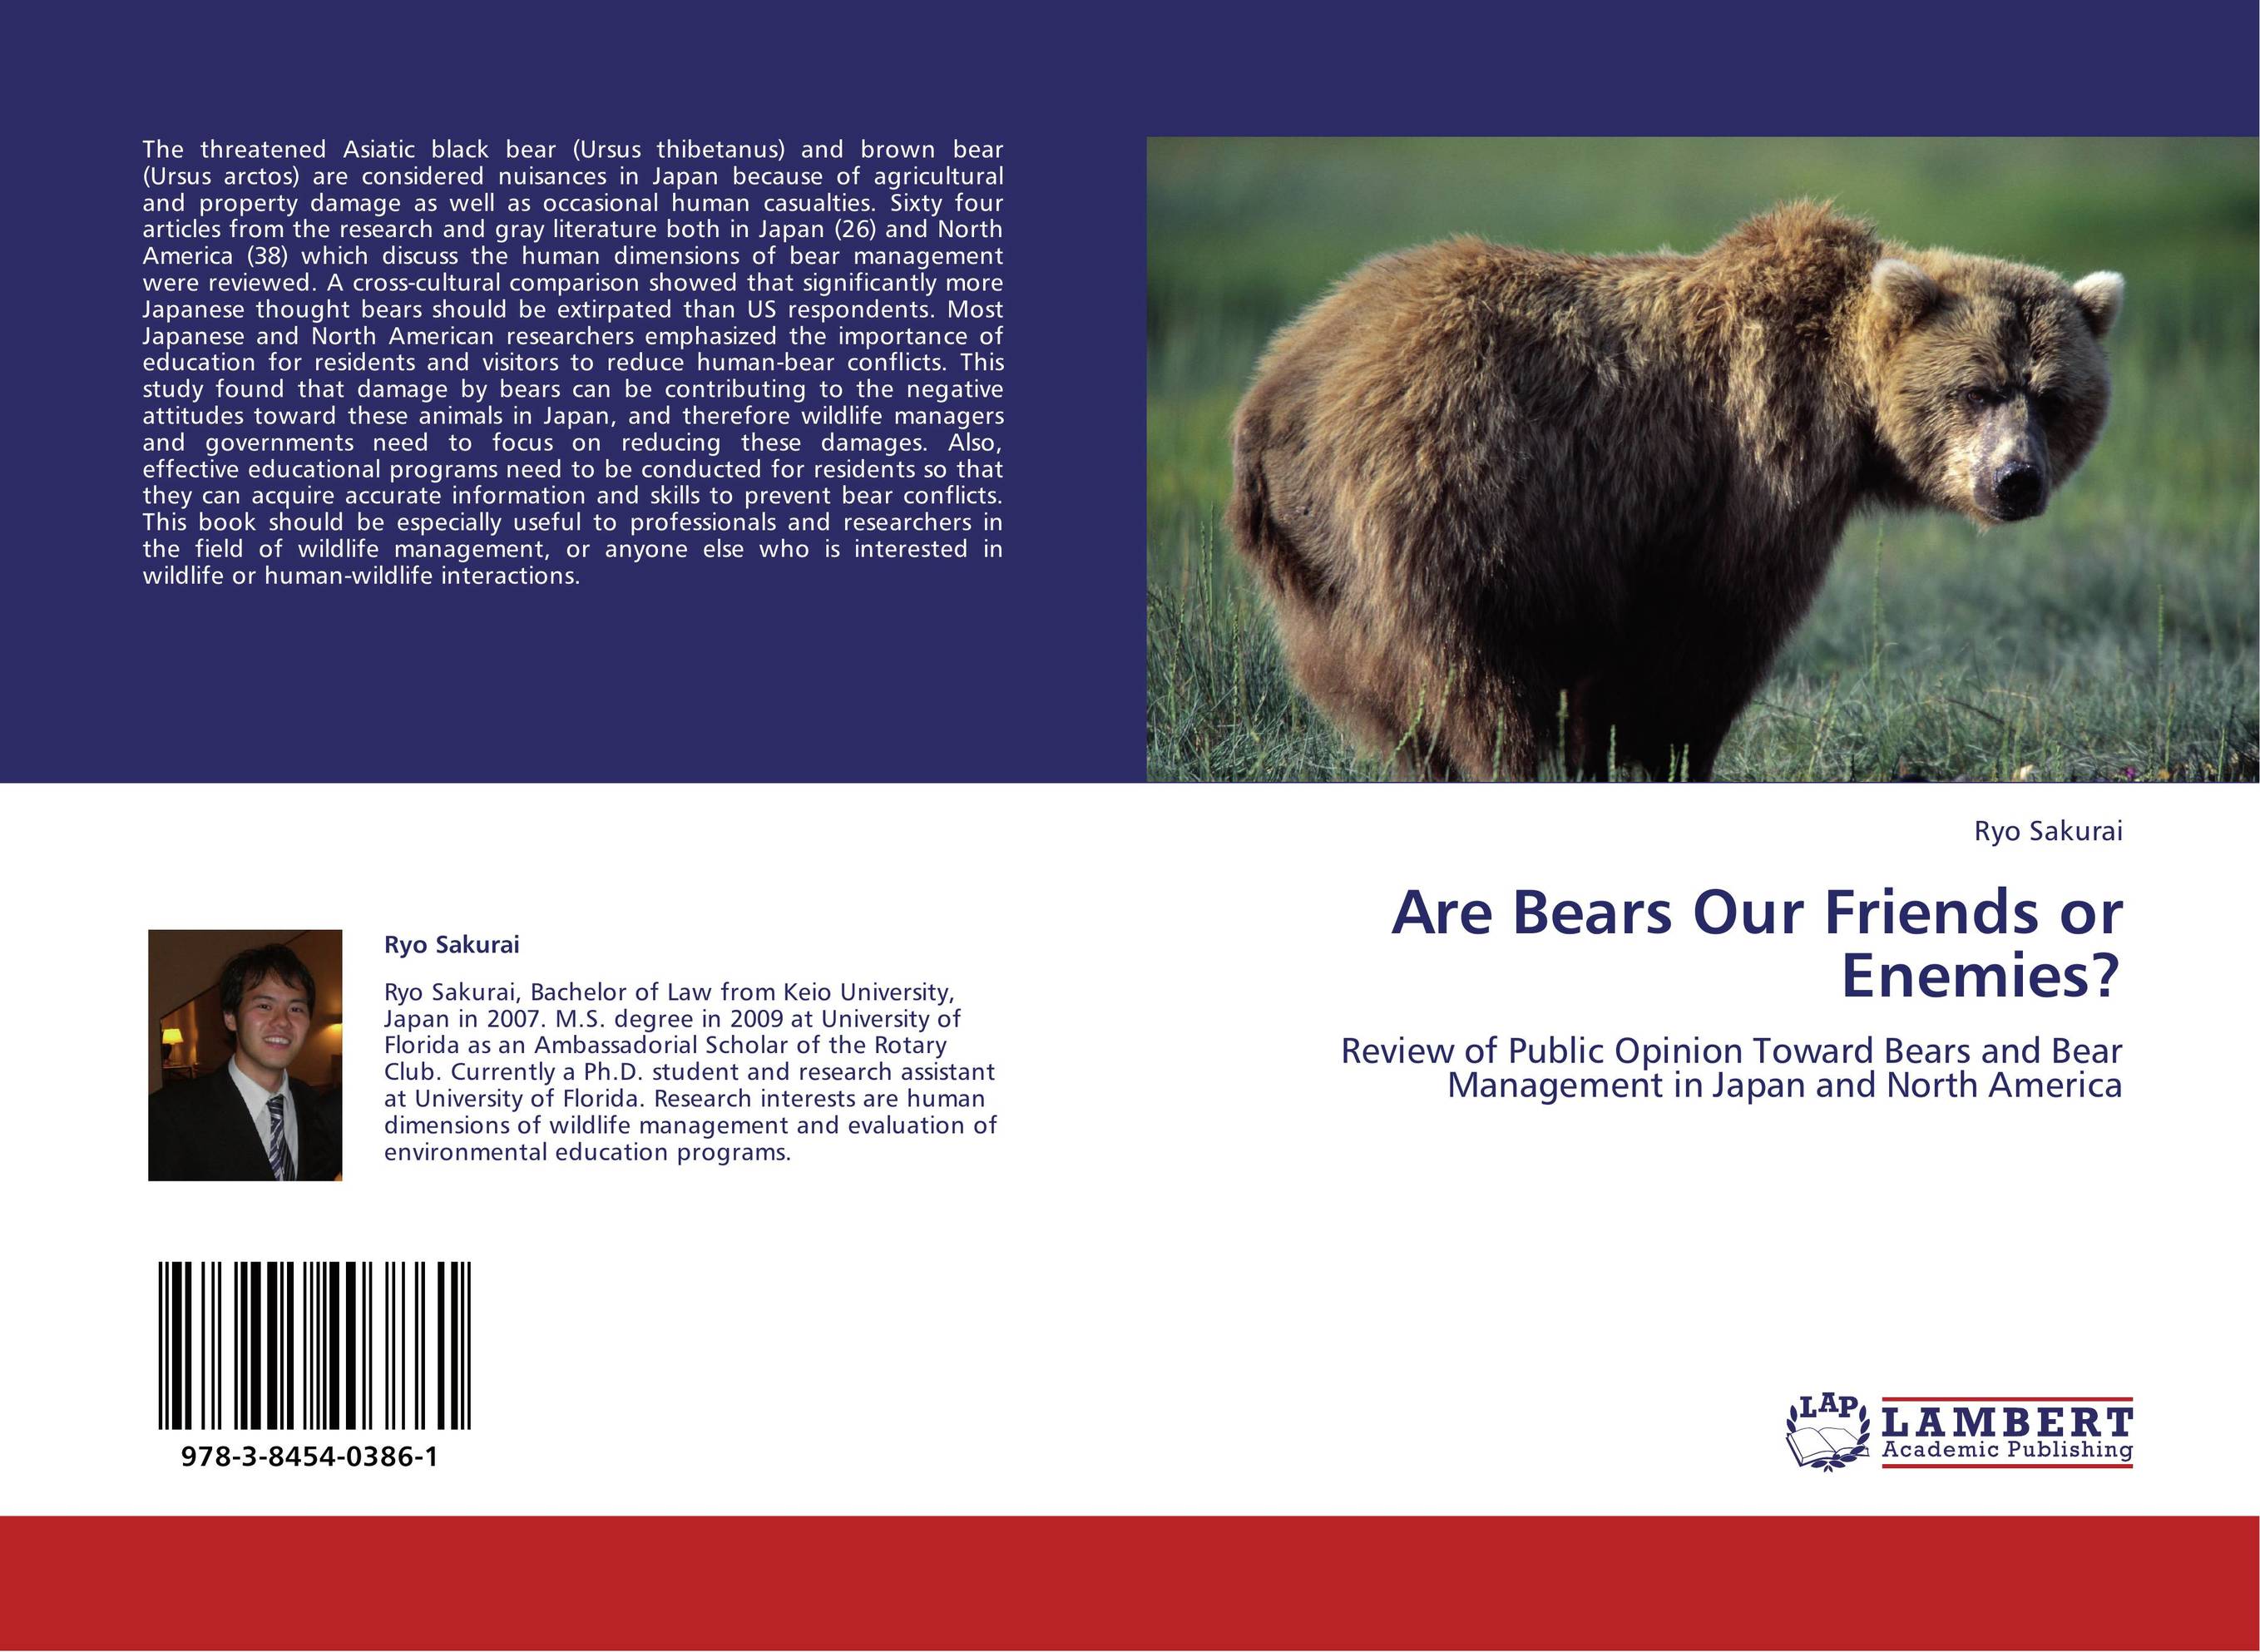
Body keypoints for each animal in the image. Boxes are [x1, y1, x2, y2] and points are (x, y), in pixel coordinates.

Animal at [1227, 202, 2123, 780]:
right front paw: (1658, 754)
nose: (2015, 480)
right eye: (1975, 389)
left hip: (1318, 569)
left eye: (2050, 396)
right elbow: (1705, 638)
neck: (1846, 405)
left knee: (1374, 686)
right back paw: (1512, 764)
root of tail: (1284, 381)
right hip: (1454, 494)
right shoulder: (1740, 477)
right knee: (1474, 667)